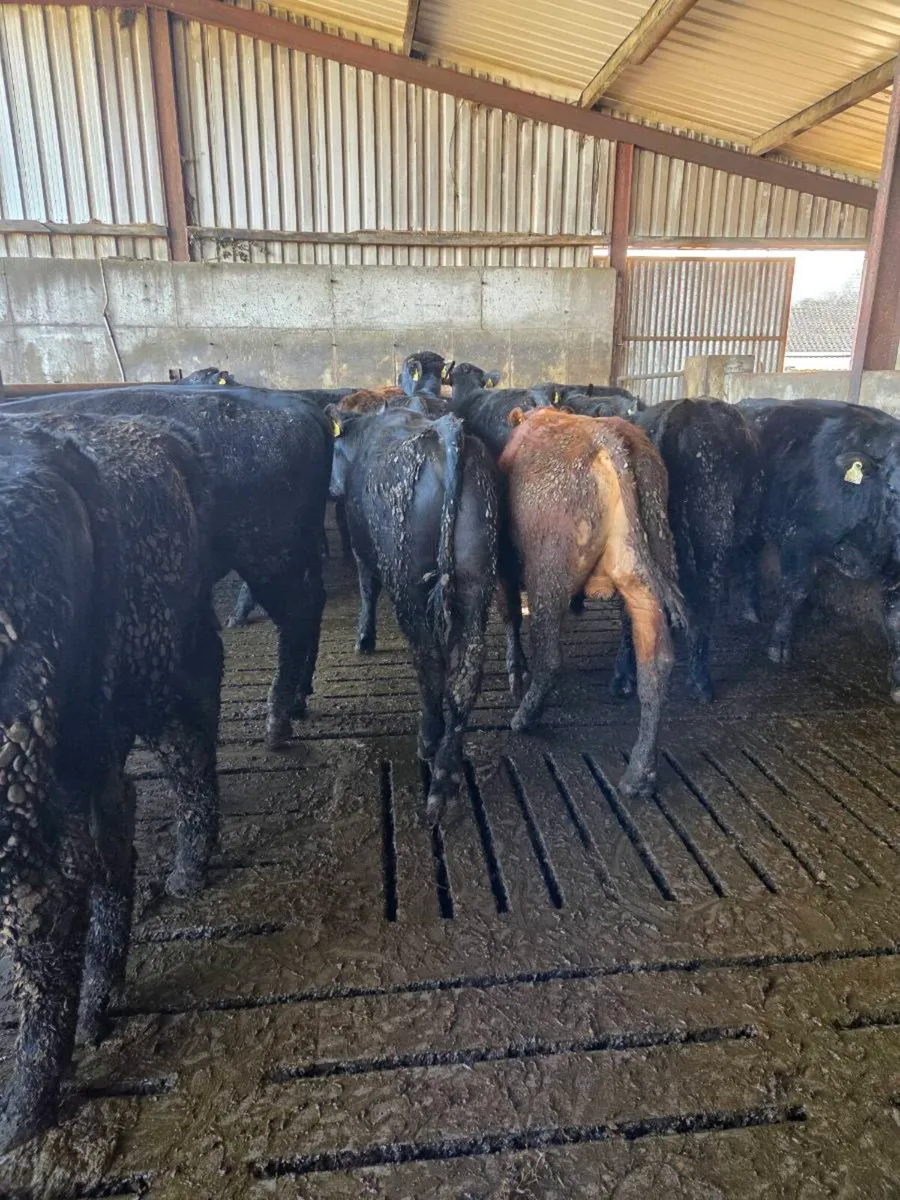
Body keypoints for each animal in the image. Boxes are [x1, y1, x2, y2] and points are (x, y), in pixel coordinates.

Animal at [2, 386, 331, 749]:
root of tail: (299, 406)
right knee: (314, 601)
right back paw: (299, 700)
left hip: (271, 555)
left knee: (295, 617)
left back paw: (277, 722)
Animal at [327, 405, 500, 820]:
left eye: (333, 452)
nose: (329, 490)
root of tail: (445, 430)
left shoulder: (362, 549)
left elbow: (366, 588)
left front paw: (364, 638)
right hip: (477, 577)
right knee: (466, 673)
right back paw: (446, 775)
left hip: (408, 581)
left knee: (429, 661)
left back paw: (429, 745)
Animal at [498, 407, 684, 798]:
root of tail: (606, 436)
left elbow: (509, 613)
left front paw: (514, 672)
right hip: (644, 567)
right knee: (656, 662)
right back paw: (639, 775)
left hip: (549, 570)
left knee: (550, 657)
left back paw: (525, 717)